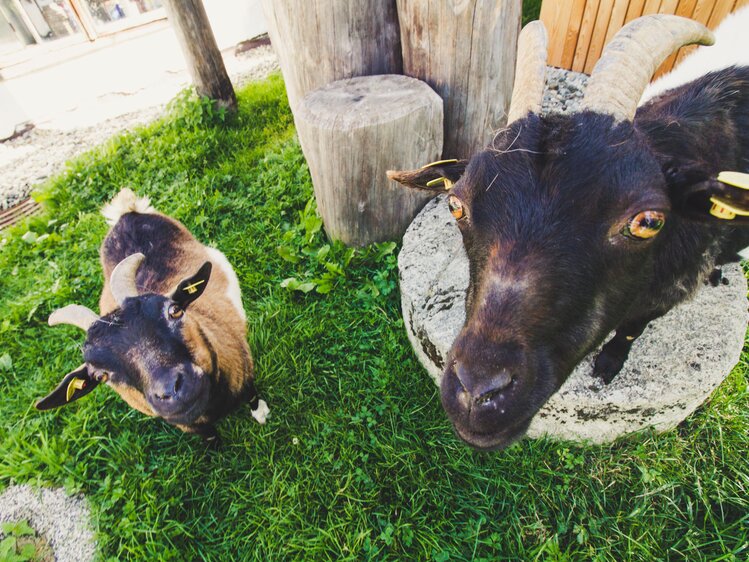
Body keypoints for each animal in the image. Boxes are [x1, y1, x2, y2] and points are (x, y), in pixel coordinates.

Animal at [36, 188, 268, 442]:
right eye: (100, 376)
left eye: (174, 311)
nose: (173, 391)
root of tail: (126, 214)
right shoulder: (191, 426)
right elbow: (209, 437)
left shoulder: (245, 369)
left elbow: (252, 394)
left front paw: (261, 414)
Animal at [388, 12, 748, 450]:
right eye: (456, 205)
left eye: (648, 222)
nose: (478, 392)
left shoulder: (673, 287)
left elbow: (632, 328)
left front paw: (608, 363)